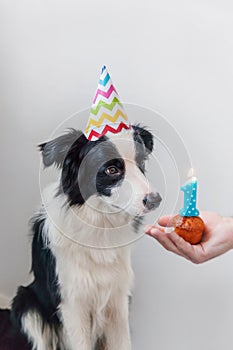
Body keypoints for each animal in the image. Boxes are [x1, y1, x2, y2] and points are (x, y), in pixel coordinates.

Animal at [0, 126, 161, 350]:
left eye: (141, 163)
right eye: (112, 170)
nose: (155, 200)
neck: (100, 225)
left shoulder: (118, 297)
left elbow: (122, 342)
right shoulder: (72, 302)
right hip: (26, 302)